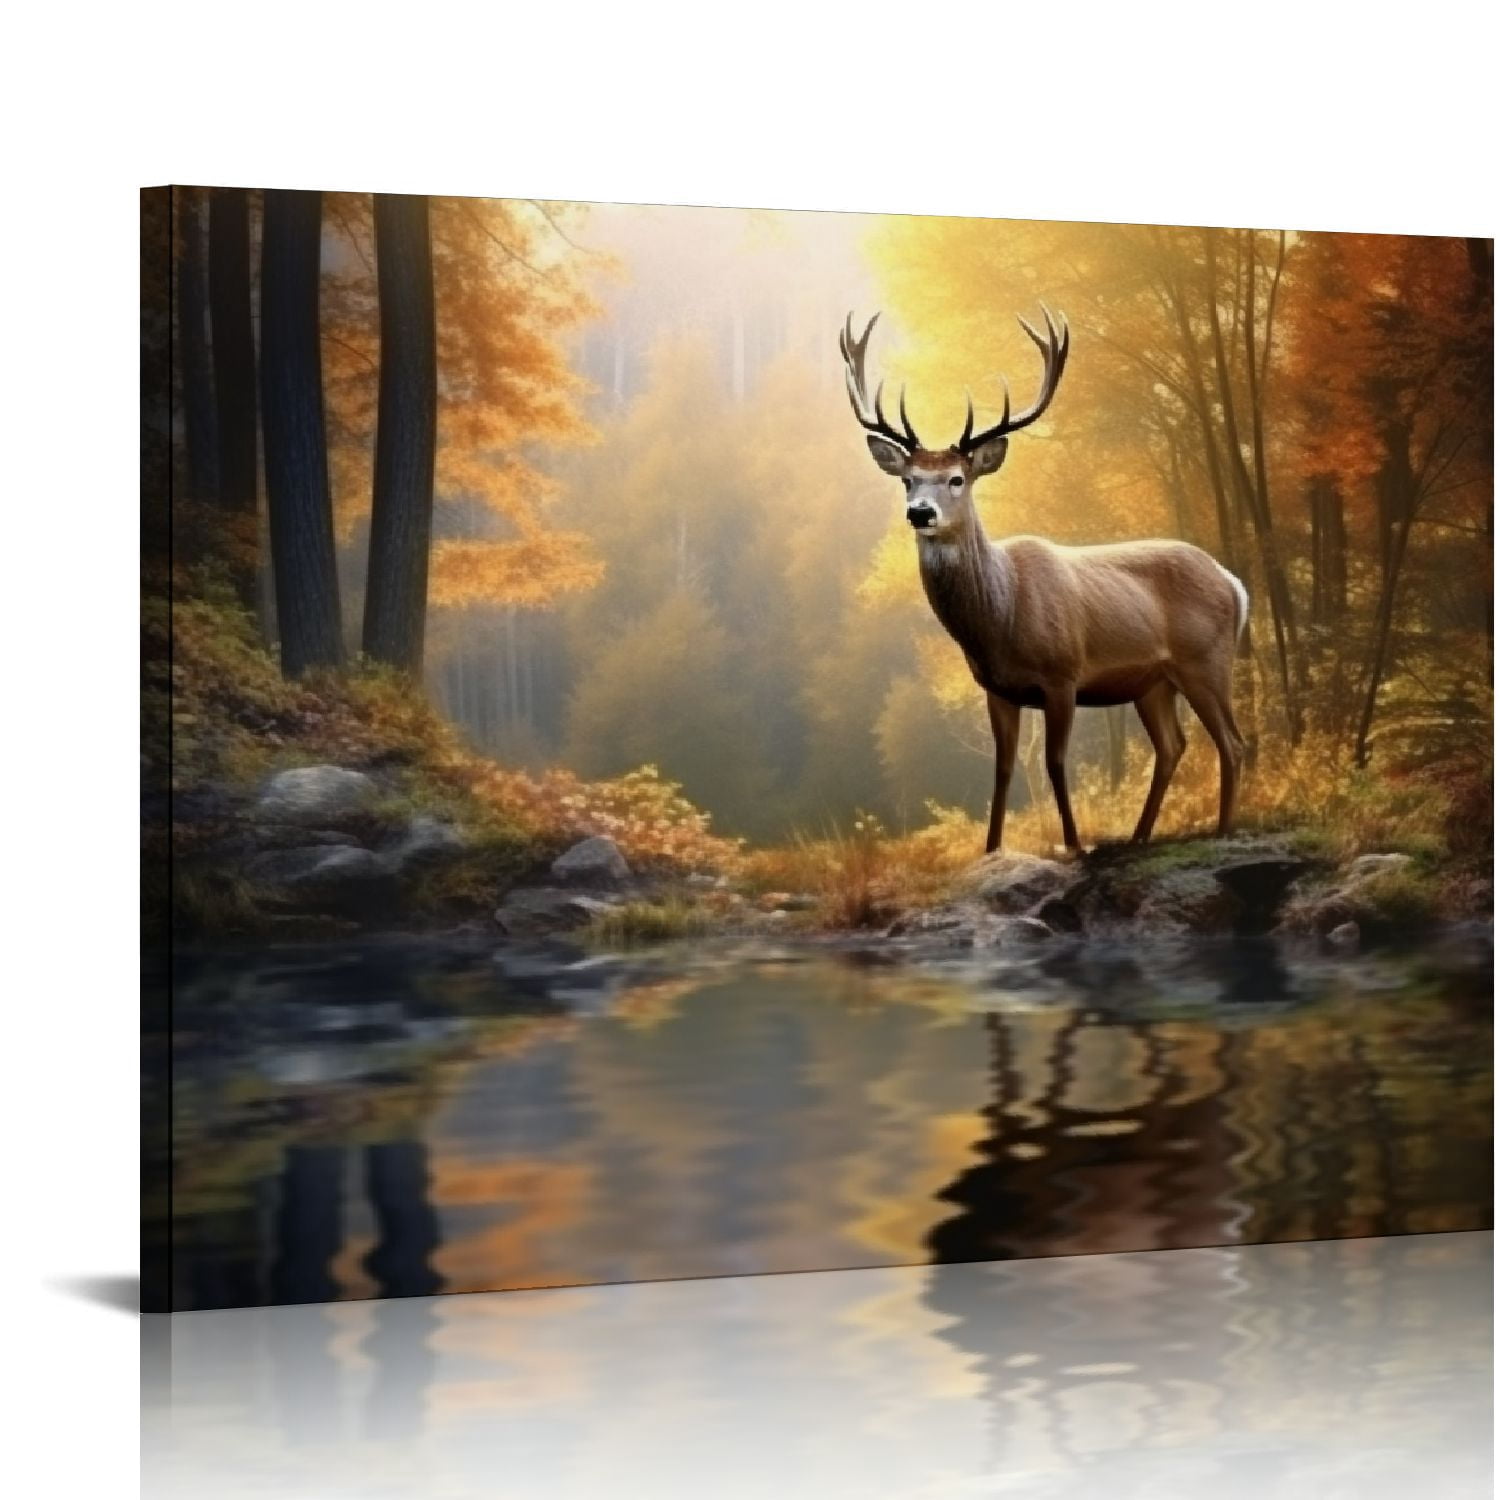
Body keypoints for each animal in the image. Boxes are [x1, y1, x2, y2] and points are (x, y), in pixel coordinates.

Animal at [840, 306, 1249, 856]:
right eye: (908, 479)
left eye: (957, 478)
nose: (919, 512)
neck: (1000, 619)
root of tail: (1234, 583)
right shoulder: (997, 688)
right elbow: (1003, 769)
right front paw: (992, 849)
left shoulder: (1062, 673)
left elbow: (1055, 762)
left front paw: (1074, 845)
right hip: (1153, 681)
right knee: (1173, 745)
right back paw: (1140, 836)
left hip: (1206, 658)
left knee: (1232, 741)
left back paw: (1223, 830)